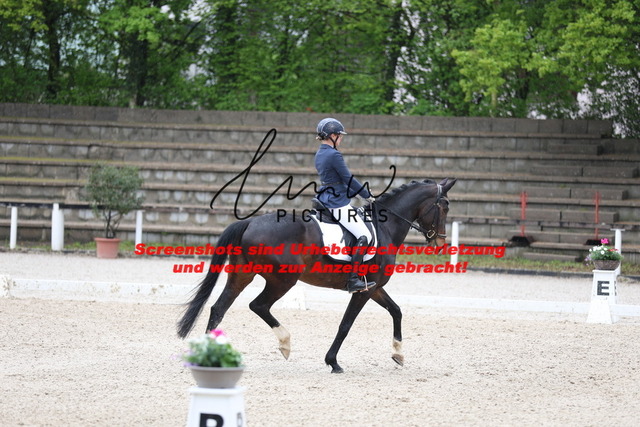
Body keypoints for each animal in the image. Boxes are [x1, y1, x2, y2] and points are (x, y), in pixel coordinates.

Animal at [177, 177, 456, 373]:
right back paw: (285, 343)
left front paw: (398, 354)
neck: (384, 227)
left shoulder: (374, 287)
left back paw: (208, 355)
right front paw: (333, 362)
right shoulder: (363, 290)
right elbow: (345, 324)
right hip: (283, 280)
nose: (440, 243)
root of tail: (249, 222)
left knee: (218, 308)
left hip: (242, 275)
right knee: (258, 305)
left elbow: (396, 311)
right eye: (444, 206)